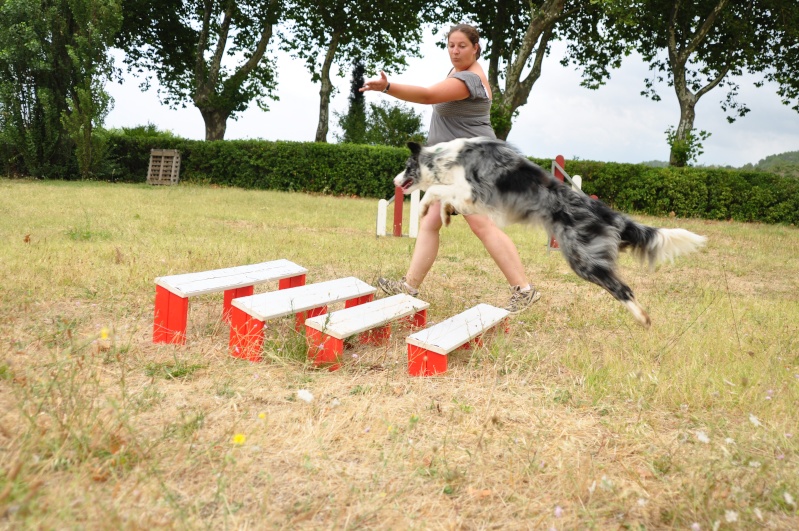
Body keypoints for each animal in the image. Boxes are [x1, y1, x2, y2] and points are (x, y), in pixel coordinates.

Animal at [394, 137, 708, 328]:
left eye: (406, 167)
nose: (395, 181)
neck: (447, 157)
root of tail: (606, 212)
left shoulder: (474, 191)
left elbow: (435, 190)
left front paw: (424, 208)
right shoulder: (472, 200)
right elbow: (443, 196)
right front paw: (443, 214)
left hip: (583, 260)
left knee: (623, 288)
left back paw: (643, 319)